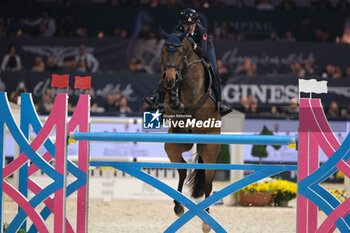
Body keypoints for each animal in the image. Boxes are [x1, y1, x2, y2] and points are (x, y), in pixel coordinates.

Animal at [159, 29, 220, 233]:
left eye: (179, 52)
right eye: (164, 51)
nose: (170, 80)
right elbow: (170, 100)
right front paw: (171, 94)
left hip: (209, 148)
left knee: (208, 181)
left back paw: (206, 219)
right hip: (175, 145)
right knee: (183, 169)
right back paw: (178, 206)